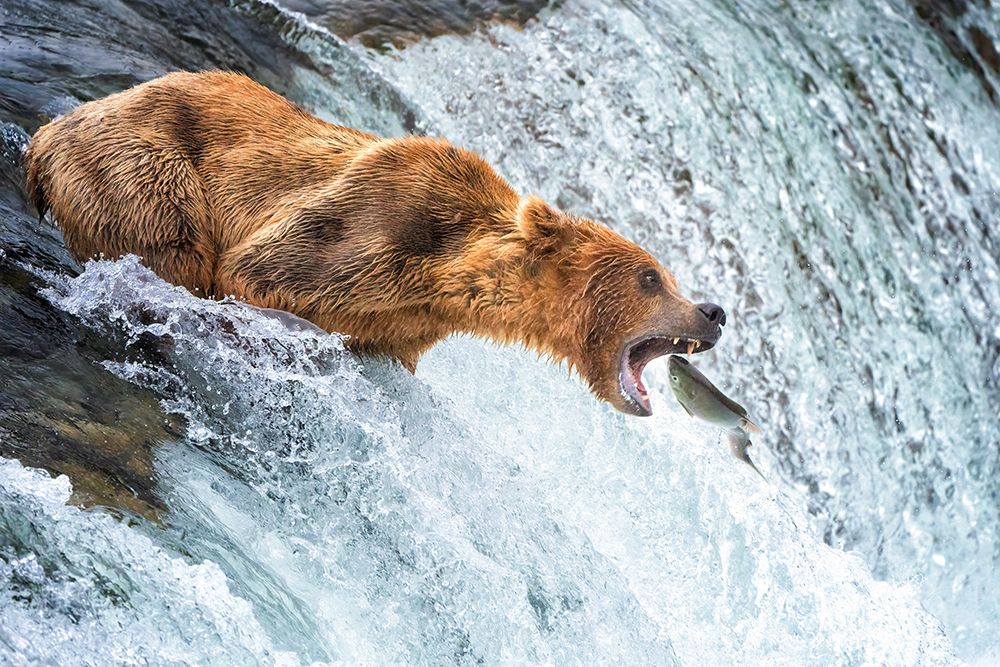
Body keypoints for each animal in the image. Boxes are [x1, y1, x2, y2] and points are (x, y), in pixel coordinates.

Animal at [24, 71, 726, 416]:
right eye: (650, 277)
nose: (713, 311)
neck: (447, 277)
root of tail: (49, 132)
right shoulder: (373, 221)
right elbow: (260, 270)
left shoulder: (404, 321)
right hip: (146, 169)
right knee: (168, 248)